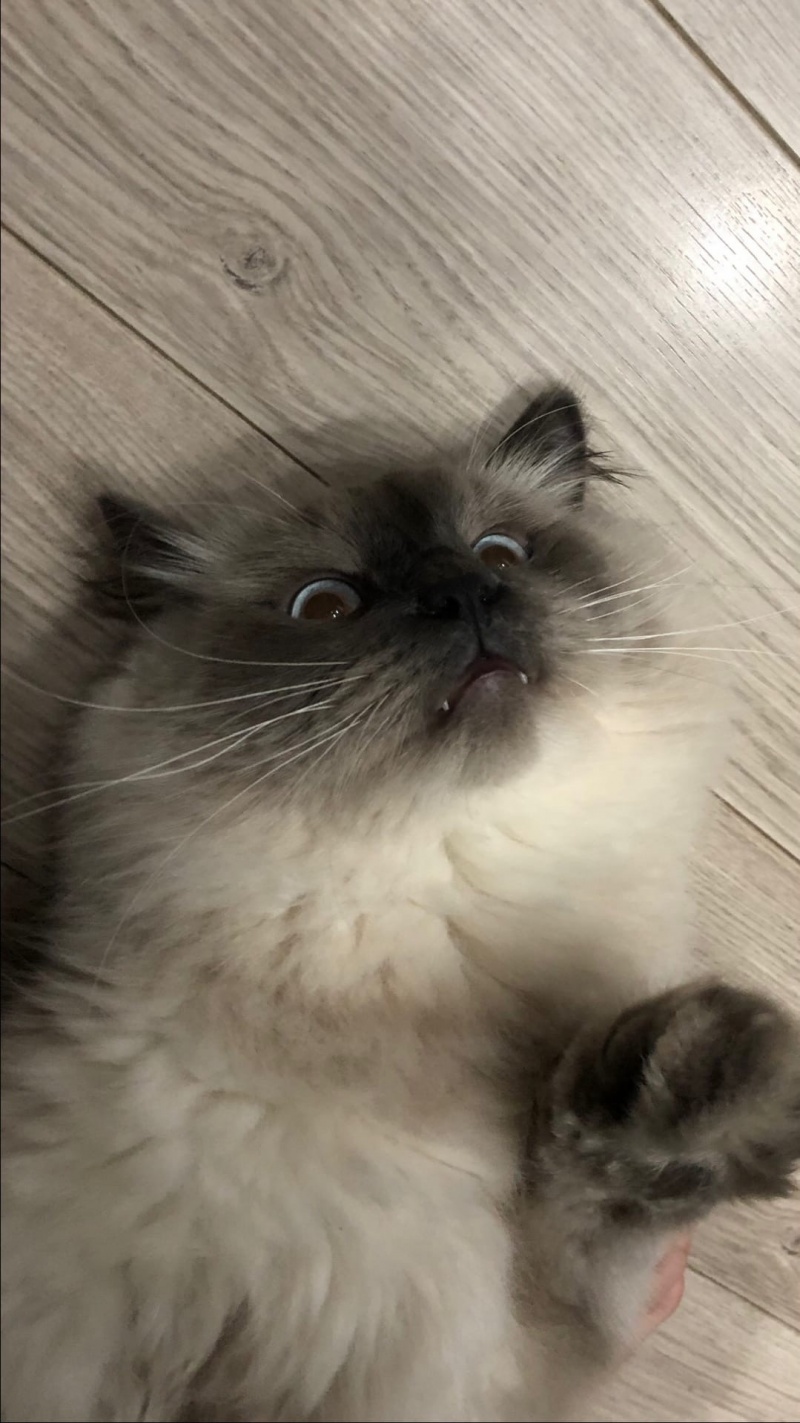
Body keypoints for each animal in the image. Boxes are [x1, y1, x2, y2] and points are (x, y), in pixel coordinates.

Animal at [2, 387, 799, 1422]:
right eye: (326, 604)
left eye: (502, 553)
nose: (460, 595)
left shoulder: (505, 1343)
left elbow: (601, 1201)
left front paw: (689, 1085)